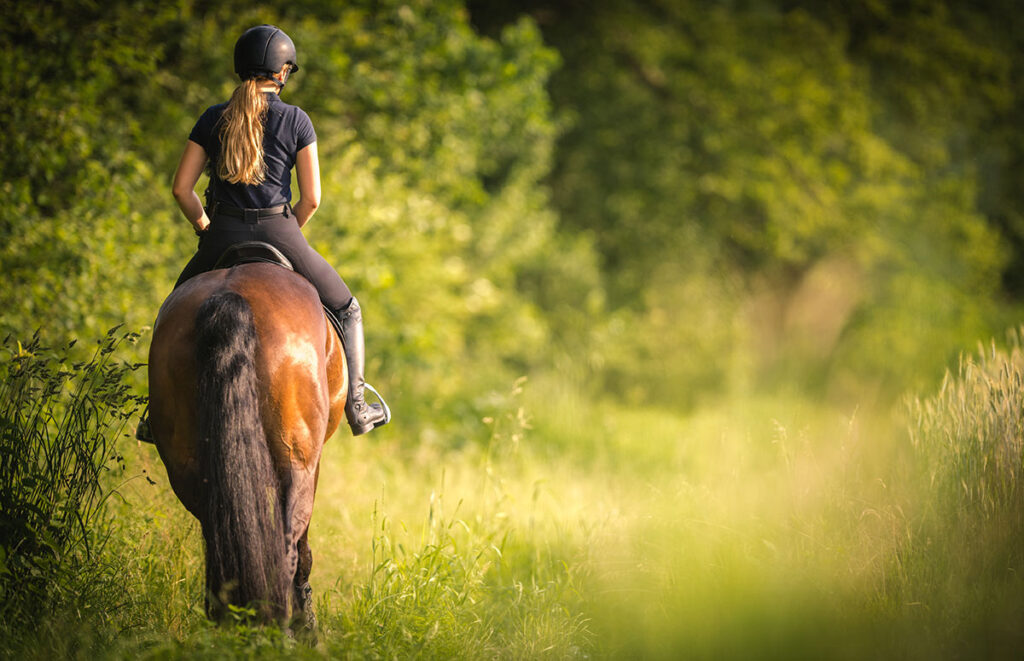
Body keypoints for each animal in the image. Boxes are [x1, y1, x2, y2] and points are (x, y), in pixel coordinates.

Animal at [147, 259, 347, 638]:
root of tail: (229, 295)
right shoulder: (312, 464)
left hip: (186, 465)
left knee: (217, 536)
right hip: (296, 458)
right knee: (286, 548)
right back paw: (282, 629)